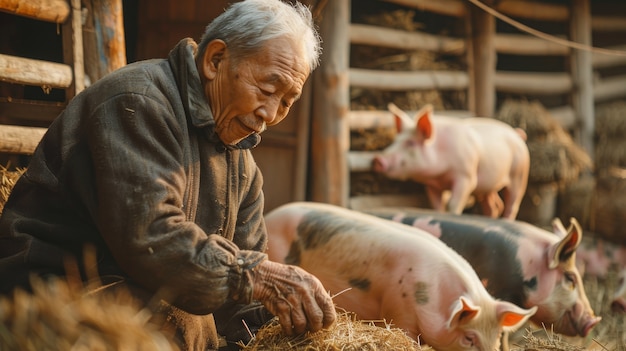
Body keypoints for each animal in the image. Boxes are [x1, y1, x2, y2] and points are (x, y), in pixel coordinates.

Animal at [368, 103, 528, 220]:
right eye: (395, 141)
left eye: (410, 143)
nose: (377, 159)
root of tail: (517, 134)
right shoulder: (432, 185)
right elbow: (437, 206)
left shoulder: (466, 177)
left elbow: (452, 204)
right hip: (488, 186)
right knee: (495, 206)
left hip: (519, 175)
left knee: (512, 205)